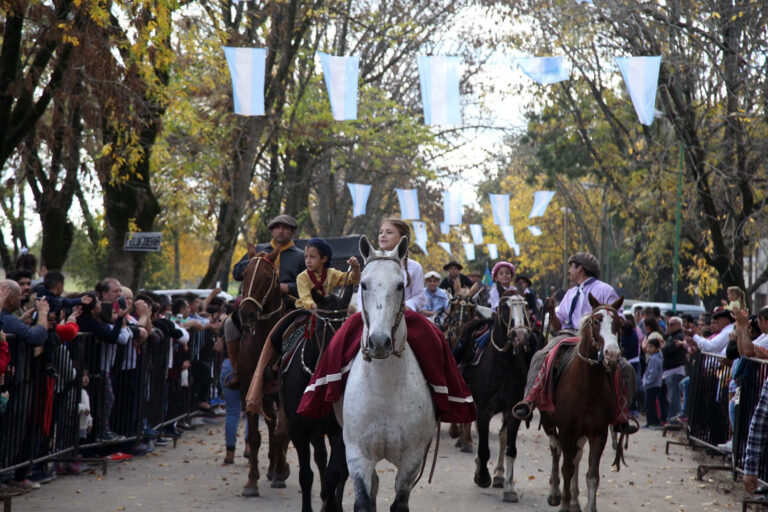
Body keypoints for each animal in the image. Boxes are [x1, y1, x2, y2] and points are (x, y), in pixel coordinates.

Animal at [338, 235, 438, 512]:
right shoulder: (357, 455)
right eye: (363, 284)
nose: (379, 342)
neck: (384, 390)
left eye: (400, 285)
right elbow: (363, 501)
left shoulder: (412, 460)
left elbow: (399, 502)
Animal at [540, 292, 624, 512]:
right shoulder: (567, 429)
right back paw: (555, 494)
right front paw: (563, 503)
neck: (587, 386)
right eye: (596, 321)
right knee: (556, 450)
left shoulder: (598, 434)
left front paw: (587, 506)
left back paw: (575, 500)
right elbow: (566, 468)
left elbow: (592, 475)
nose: (612, 354)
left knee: (576, 457)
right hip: (549, 422)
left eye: (619, 323)